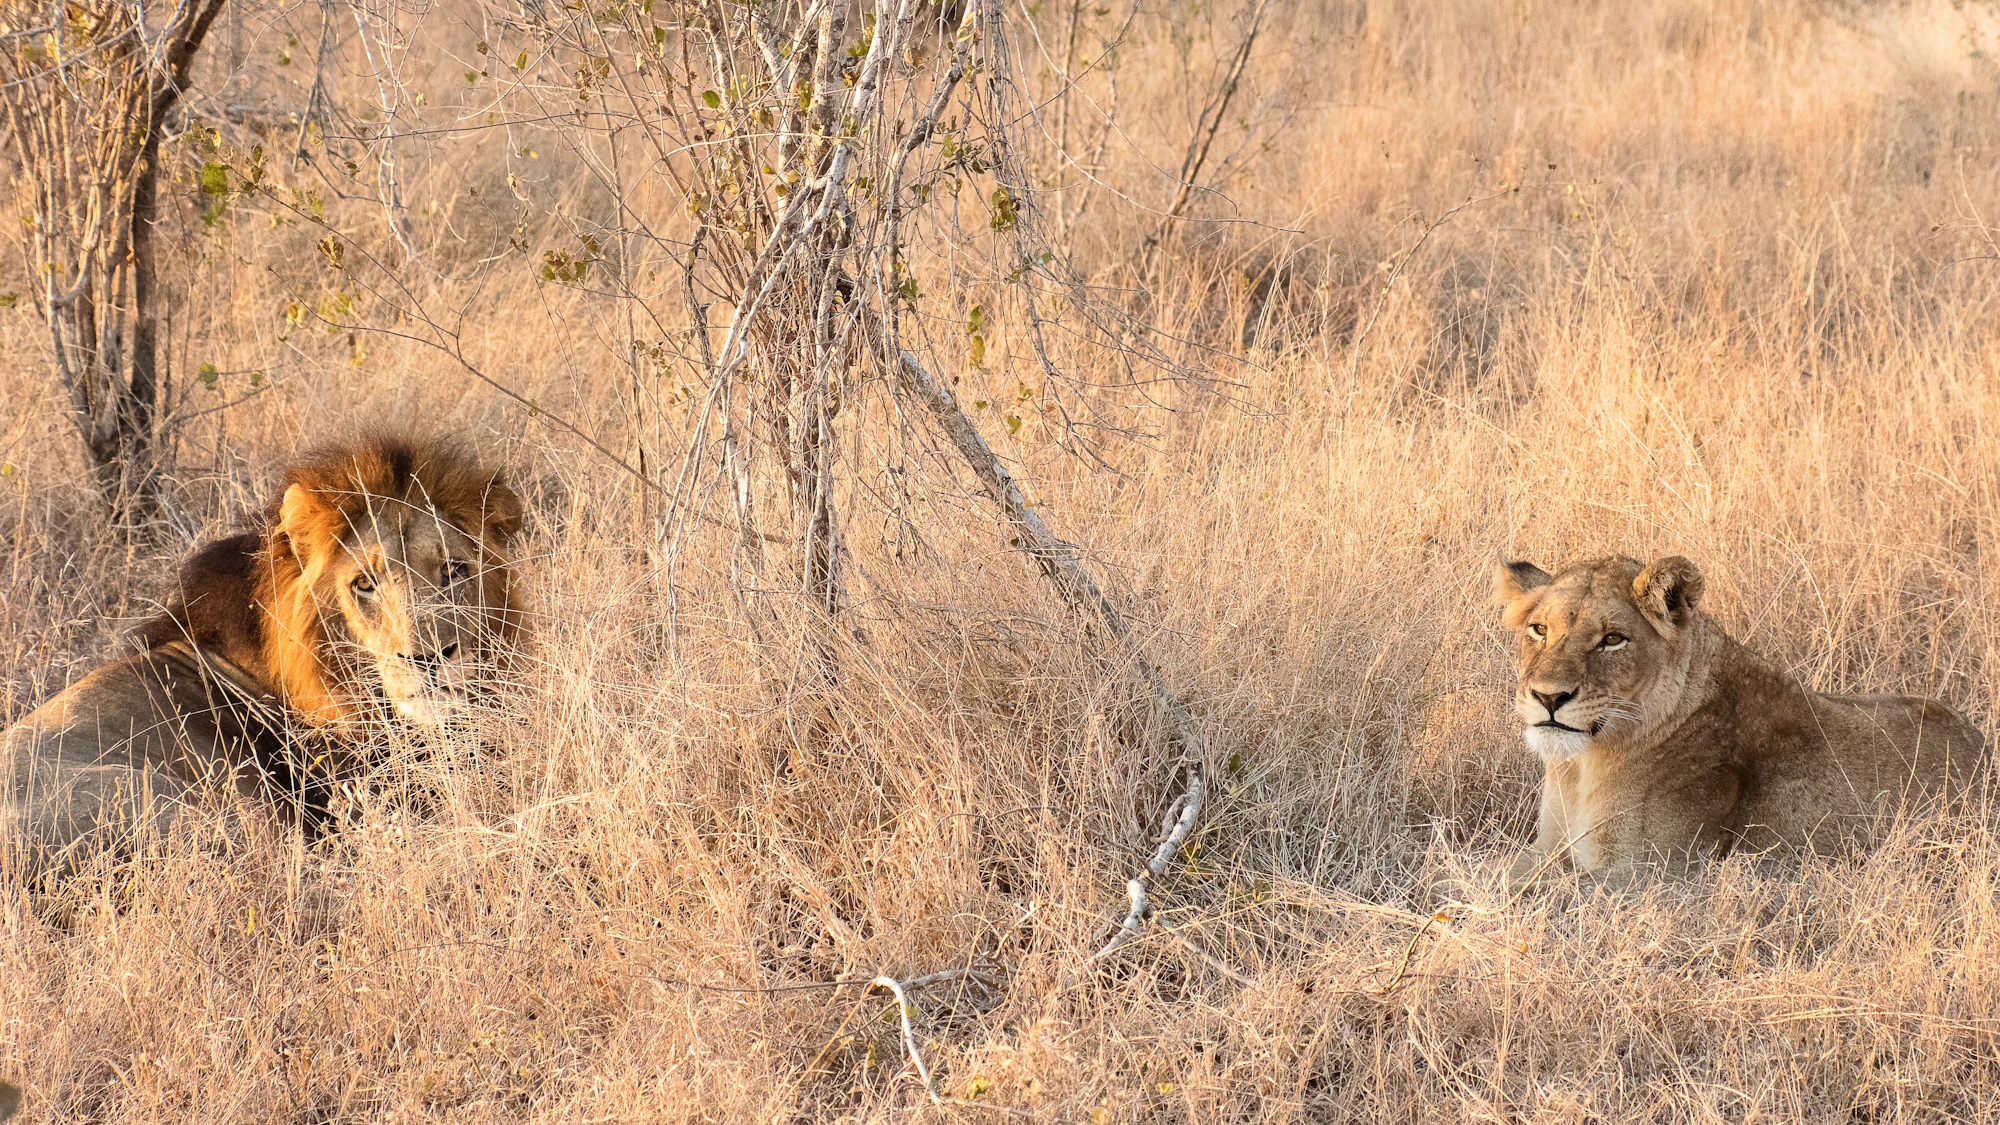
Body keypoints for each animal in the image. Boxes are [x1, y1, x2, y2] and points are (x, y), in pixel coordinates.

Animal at [1495, 554, 1985, 890]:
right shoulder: (1546, 846)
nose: (1548, 697)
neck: (1582, 767)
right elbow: (1496, 872)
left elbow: (1535, 891)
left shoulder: (1658, 874)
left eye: (1613, 639)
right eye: (1540, 629)